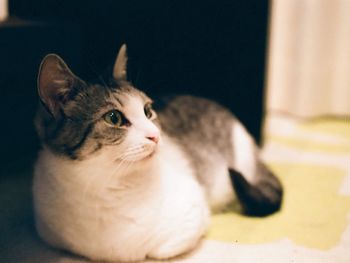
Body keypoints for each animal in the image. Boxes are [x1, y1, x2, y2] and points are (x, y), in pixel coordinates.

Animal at [32, 44, 284, 262]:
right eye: (113, 118)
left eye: (147, 111)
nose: (155, 135)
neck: (107, 188)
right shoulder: (51, 233)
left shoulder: (193, 212)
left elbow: (157, 250)